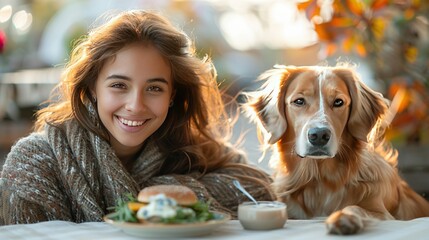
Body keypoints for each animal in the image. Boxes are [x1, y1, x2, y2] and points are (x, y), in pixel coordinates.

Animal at [242, 63, 428, 234]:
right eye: (299, 101)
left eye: (338, 102)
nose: (319, 135)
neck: (320, 180)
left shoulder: (383, 213)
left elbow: (356, 207)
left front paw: (344, 217)